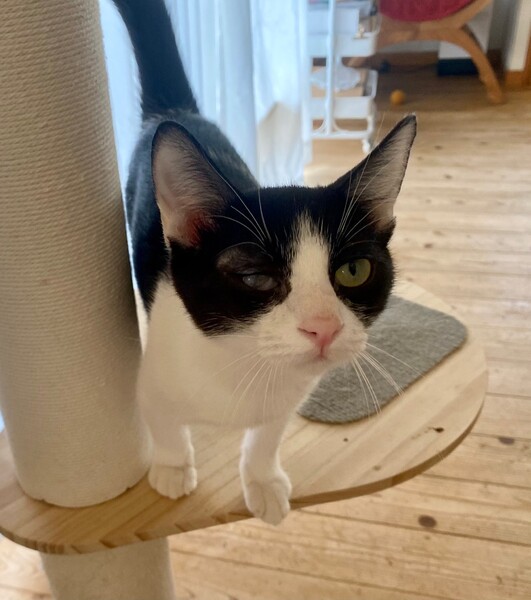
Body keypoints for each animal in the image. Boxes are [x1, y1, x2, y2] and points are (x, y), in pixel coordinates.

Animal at [112, 0, 416, 524]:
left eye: (353, 271)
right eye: (254, 276)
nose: (323, 328)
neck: (246, 363)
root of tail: (177, 113)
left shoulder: (288, 398)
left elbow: (267, 435)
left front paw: (262, 481)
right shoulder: (155, 377)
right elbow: (163, 421)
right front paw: (172, 467)